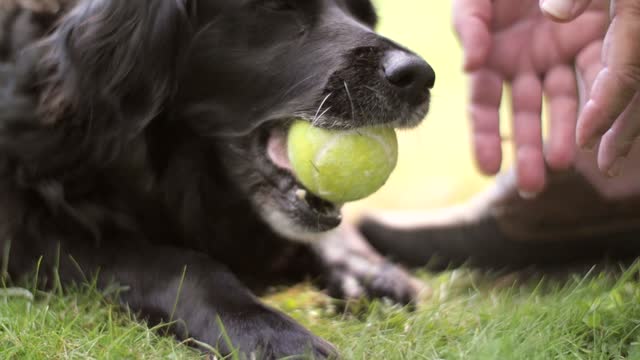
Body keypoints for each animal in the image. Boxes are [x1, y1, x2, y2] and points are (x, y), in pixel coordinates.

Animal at [0, 0, 436, 358]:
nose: (419, 77)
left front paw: (366, 272)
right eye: (277, 5)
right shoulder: (27, 231)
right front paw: (265, 330)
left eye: (363, 12)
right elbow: (176, 263)